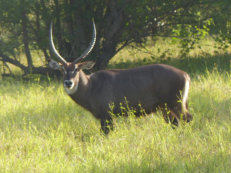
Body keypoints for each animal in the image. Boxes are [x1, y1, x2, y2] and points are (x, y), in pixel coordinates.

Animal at [49, 20, 193, 134]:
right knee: (175, 123)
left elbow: (106, 134)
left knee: (188, 118)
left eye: (76, 69)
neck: (91, 86)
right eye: (62, 69)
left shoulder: (107, 115)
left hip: (176, 104)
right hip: (166, 107)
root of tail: (185, 74)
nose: (68, 83)